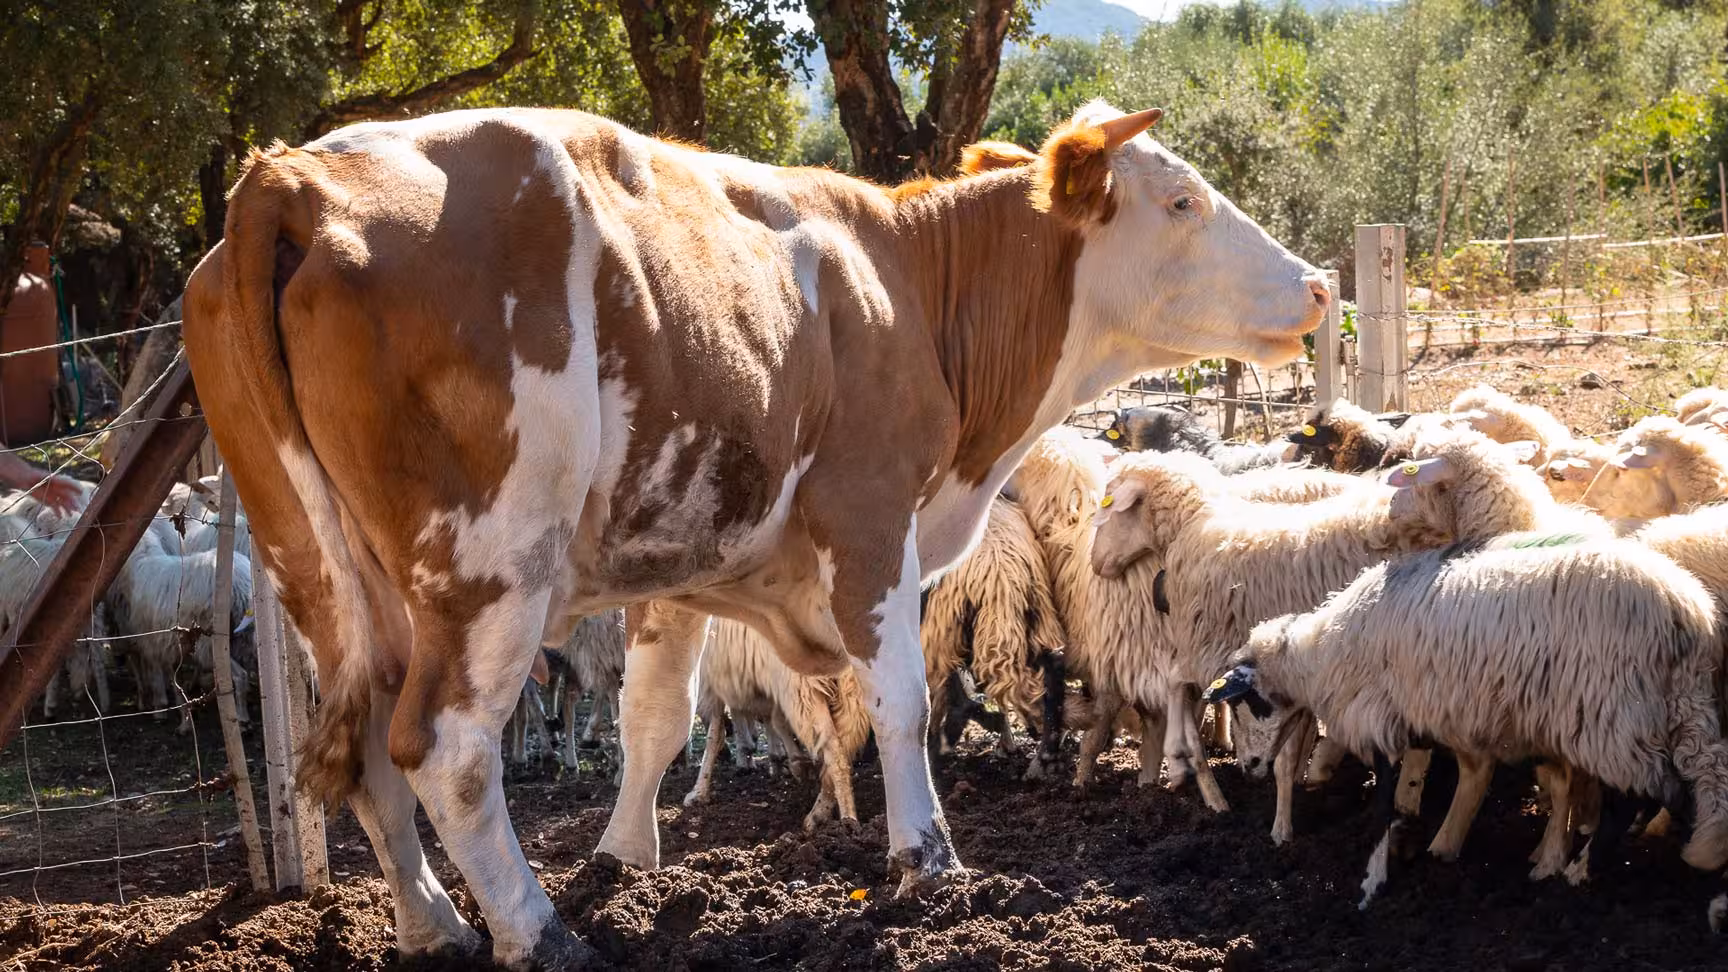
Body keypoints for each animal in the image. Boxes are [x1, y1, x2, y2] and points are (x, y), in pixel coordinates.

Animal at [683, 617, 872, 832]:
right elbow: (773, 721)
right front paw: (793, 763)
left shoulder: (711, 675)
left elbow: (715, 735)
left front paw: (699, 792)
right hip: (849, 693)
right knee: (842, 749)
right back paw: (822, 810)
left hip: (801, 685)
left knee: (835, 753)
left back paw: (846, 821)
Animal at [1210, 535, 1728, 910]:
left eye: (1248, 704)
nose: (1248, 768)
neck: (1321, 653)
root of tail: (1690, 613)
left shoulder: (1379, 720)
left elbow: (1382, 810)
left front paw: (1371, 883)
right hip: (1657, 710)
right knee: (1680, 783)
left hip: (1615, 717)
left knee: (1639, 795)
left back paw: (1580, 870)